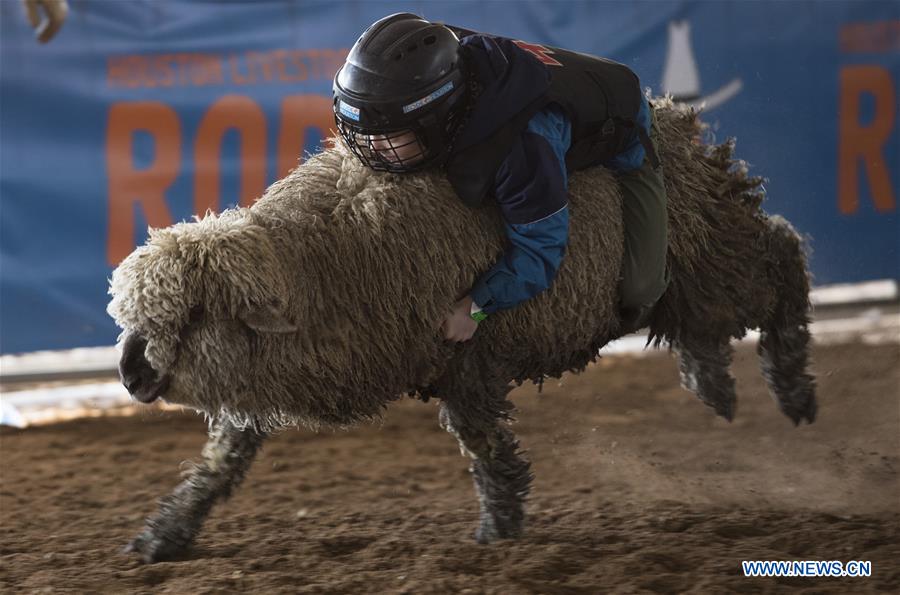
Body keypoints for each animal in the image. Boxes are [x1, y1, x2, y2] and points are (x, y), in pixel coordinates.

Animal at [109, 101, 820, 564]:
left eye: (190, 315)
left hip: (709, 260)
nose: (131, 374)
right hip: (685, 281)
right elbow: (221, 462)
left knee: (783, 253)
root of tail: (676, 120)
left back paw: (793, 389)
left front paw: (499, 528)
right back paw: (715, 386)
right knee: (706, 324)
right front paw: (165, 534)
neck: (323, 263)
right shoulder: (267, 374)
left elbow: (481, 444)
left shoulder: (470, 357)